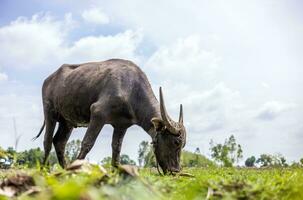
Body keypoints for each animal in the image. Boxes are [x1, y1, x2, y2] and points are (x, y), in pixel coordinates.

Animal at [33, 58, 186, 173]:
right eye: (176, 142)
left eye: (183, 144)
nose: (175, 171)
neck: (131, 90)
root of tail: (50, 78)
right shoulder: (98, 113)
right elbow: (87, 143)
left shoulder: (121, 126)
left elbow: (116, 149)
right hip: (50, 113)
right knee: (47, 141)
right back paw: (44, 169)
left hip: (67, 122)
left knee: (59, 142)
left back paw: (65, 169)